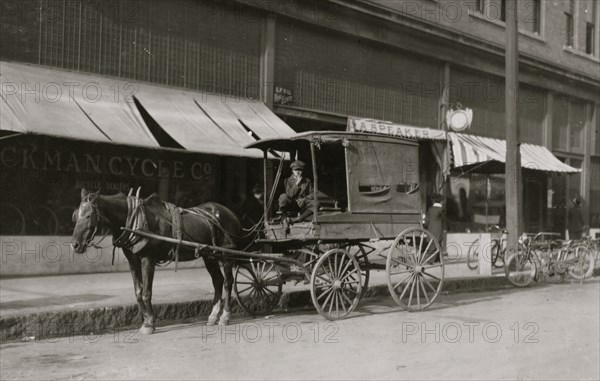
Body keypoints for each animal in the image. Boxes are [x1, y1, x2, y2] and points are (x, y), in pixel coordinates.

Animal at [69, 187, 239, 332]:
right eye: (75, 215)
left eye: (88, 215)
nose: (75, 245)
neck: (136, 221)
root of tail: (229, 213)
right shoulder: (133, 261)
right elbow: (138, 292)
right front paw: (146, 319)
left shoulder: (148, 259)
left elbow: (146, 292)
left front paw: (149, 323)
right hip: (209, 255)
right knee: (217, 281)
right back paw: (213, 315)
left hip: (226, 254)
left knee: (228, 282)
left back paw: (225, 316)